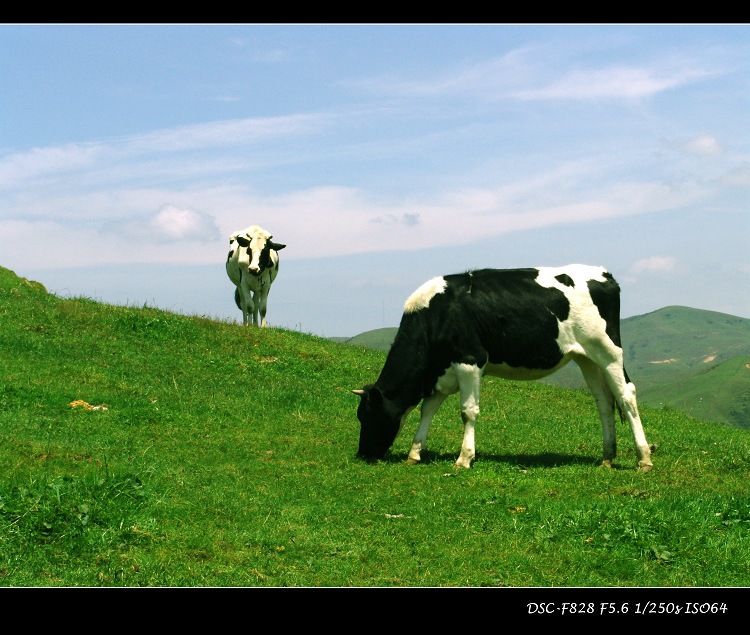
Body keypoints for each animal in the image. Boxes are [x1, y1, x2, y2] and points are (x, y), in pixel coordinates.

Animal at [356, 264, 656, 472]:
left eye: (368, 416)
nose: (363, 455)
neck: (435, 314)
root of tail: (604, 274)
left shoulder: (470, 360)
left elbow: (467, 411)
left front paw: (464, 458)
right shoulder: (442, 373)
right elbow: (427, 410)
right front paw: (415, 453)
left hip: (609, 351)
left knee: (626, 396)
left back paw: (643, 458)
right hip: (587, 358)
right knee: (604, 402)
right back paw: (607, 458)